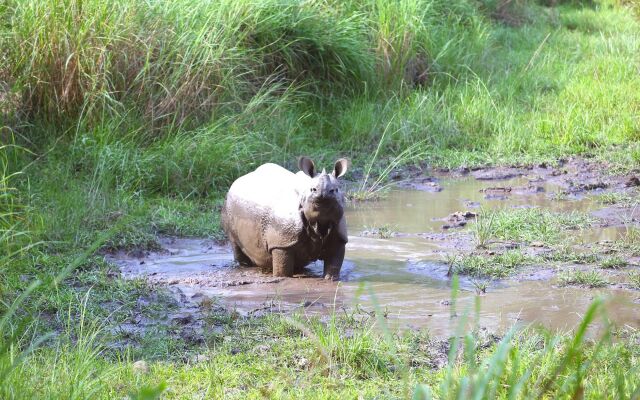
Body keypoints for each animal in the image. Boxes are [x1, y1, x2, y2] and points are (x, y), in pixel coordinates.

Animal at [221, 155, 350, 280]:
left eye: (335, 190)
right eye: (312, 189)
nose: (323, 194)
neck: (319, 223)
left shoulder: (339, 234)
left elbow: (334, 263)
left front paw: (331, 279)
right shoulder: (281, 242)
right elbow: (283, 268)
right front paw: (282, 277)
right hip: (228, 204)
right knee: (235, 244)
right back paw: (244, 266)